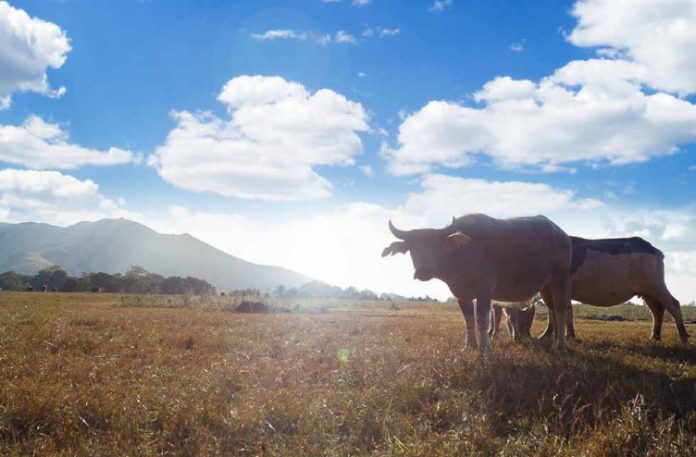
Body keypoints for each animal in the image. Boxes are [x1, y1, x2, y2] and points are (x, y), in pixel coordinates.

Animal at [384, 214, 572, 350]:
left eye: (436, 246)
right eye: (412, 248)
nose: (422, 271)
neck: (463, 253)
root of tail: (562, 235)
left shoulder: (485, 291)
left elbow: (482, 319)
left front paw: (484, 348)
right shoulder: (461, 294)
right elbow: (469, 320)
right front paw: (469, 347)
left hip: (560, 280)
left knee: (561, 310)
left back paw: (560, 346)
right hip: (546, 287)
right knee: (552, 311)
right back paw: (554, 342)